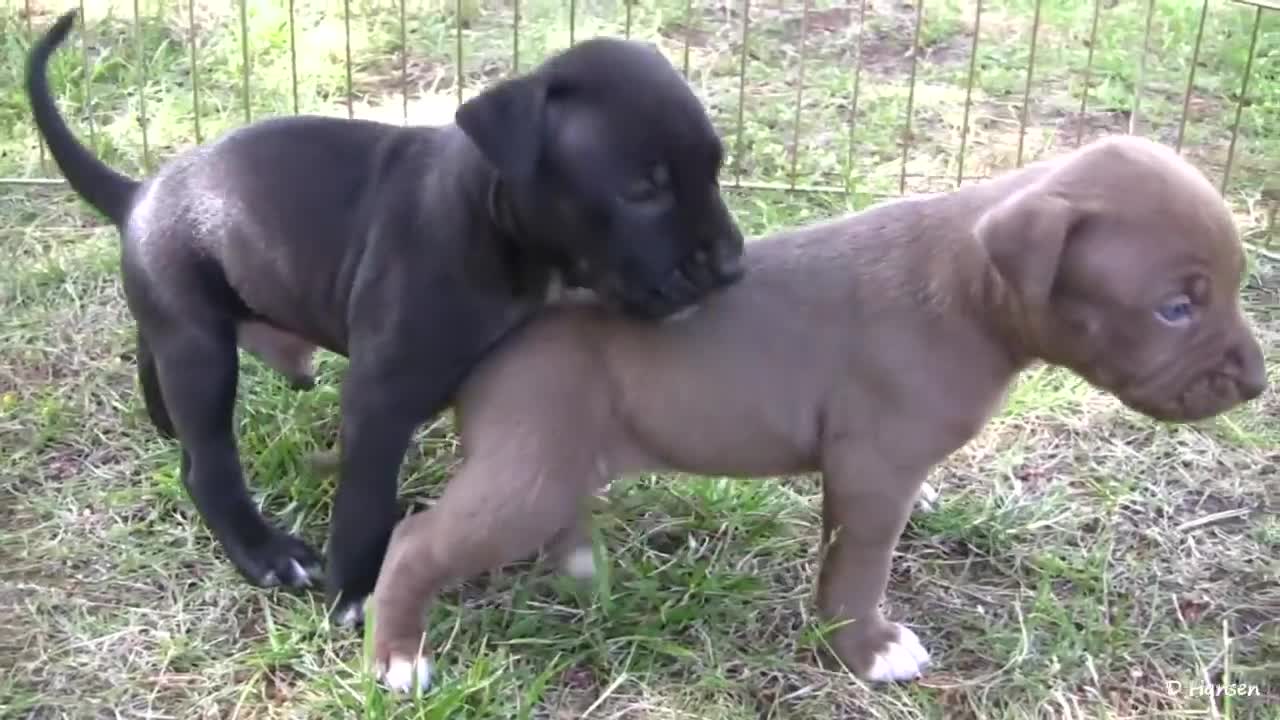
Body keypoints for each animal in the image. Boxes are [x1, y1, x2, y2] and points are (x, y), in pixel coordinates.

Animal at [27, 9, 747, 622]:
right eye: (642, 188)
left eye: (717, 169)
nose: (734, 266)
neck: (492, 219)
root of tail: (140, 192)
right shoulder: (379, 397)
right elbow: (366, 499)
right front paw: (355, 593)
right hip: (201, 349)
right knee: (207, 463)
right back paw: (265, 552)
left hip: (181, 321)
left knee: (152, 353)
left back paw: (162, 421)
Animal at [366, 134, 1264, 691]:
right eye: (1175, 309)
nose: (1256, 384)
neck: (970, 292)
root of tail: (499, 338)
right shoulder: (870, 470)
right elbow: (857, 568)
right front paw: (867, 649)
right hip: (529, 470)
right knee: (416, 543)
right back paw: (398, 660)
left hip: (548, 459)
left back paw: (582, 569)